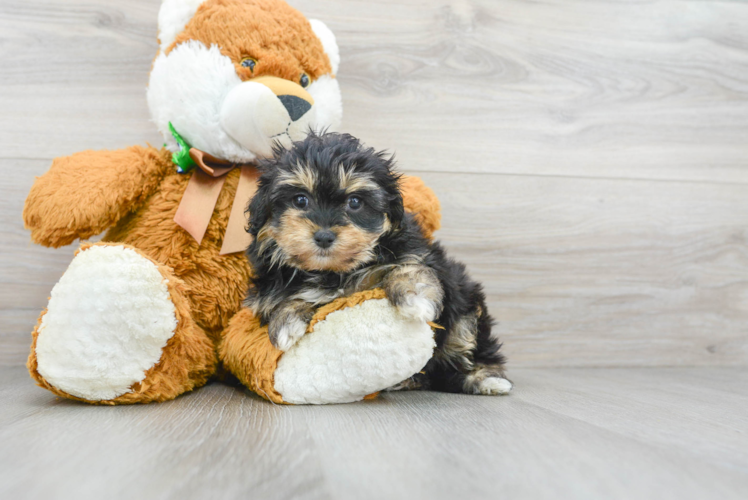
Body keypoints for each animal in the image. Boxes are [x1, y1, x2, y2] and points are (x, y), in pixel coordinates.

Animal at [245, 132, 516, 394]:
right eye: (300, 200)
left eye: (355, 202)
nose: (323, 236)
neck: (334, 272)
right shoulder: (270, 289)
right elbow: (289, 297)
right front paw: (285, 323)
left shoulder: (417, 256)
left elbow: (408, 269)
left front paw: (415, 299)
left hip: (467, 308)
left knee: (467, 344)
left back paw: (486, 379)